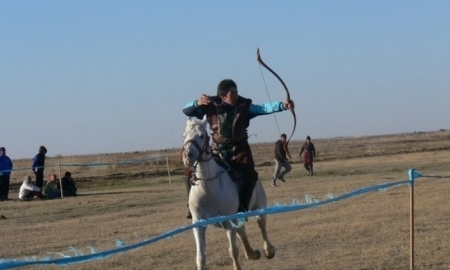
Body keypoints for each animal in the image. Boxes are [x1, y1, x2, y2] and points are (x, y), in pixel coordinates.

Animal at [180, 117, 274, 270]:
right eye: (184, 136)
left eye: (201, 136)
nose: (188, 156)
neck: (208, 187)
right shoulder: (198, 223)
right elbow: (200, 257)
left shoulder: (229, 221)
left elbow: (233, 251)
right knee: (242, 230)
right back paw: (251, 253)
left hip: (259, 206)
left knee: (261, 223)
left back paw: (268, 251)